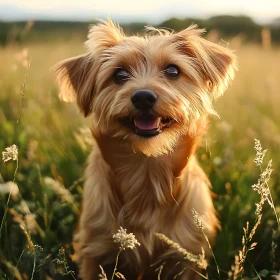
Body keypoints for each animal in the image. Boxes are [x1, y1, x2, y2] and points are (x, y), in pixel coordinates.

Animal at [54, 20, 236, 280]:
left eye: (172, 71)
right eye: (119, 74)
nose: (142, 97)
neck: (147, 169)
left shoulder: (186, 254)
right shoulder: (96, 250)